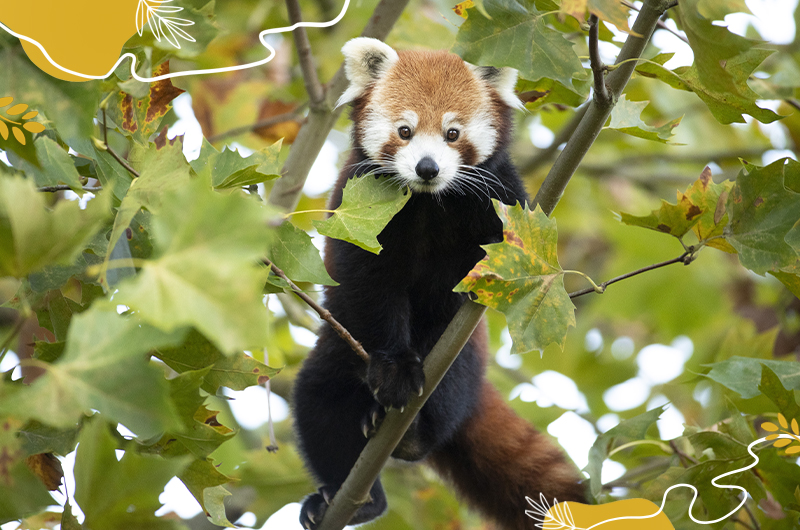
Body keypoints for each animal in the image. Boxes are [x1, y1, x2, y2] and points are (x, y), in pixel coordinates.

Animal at [290, 38, 584, 528]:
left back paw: (414, 433)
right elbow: (369, 287)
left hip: (461, 359)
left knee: (445, 392)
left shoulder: (501, 201)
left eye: (452, 133)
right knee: (318, 401)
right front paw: (394, 368)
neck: (429, 202)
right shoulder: (358, 208)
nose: (427, 168)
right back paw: (352, 497)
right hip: (337, 348)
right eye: (405, 130)